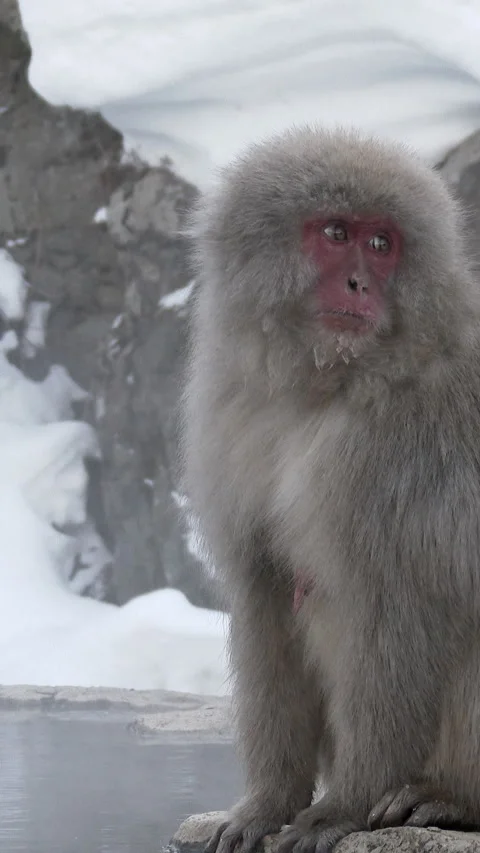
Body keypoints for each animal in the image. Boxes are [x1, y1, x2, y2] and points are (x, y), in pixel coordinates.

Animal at [181, 125, 480, 853]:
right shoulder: (238, 414)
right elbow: (264, 590)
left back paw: (455, 796)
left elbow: (399, 606)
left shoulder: (402, 453)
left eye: (382, 243)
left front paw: (344, 804)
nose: (359, 283)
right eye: (337, 231)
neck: (328, 386)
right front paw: (267, 803)